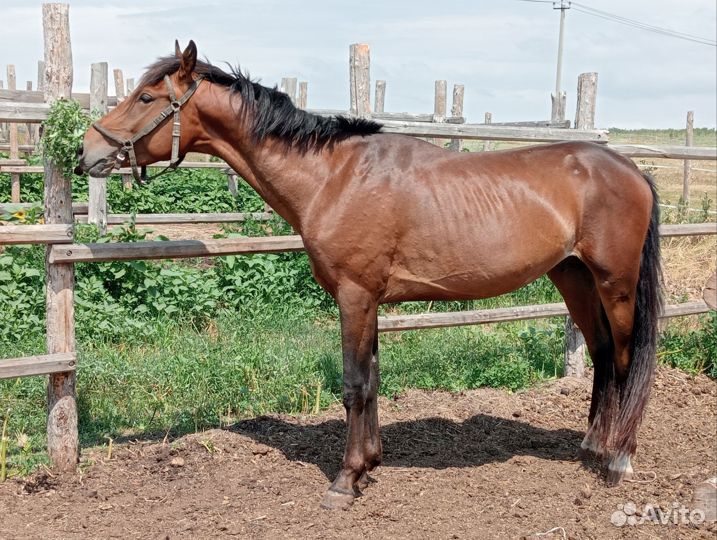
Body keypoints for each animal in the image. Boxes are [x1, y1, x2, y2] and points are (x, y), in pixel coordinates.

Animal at [75, 40, 664, 508]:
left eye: (146, 98)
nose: (87, 150)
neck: (333, 176)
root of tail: (630, 169)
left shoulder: (354, 296)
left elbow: (354, 384)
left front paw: (346, 479)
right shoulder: (370, 301)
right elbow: (375, 380)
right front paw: (371, 464)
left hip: (613, 283)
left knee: (627, 359)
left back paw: (618, 459)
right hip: (573, 278)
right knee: (603, 355)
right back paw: (592, 446)